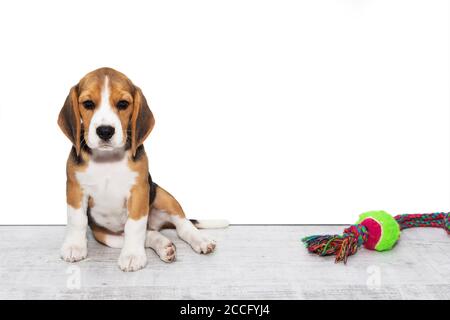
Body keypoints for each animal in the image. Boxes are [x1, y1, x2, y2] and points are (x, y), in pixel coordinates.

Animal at [59, 69, 229, 272]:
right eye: (88, 104)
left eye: (123, 104)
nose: (105, 131)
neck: (107, 159)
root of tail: (156, 224)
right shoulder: (75, 189)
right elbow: (77, 220)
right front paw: (74, 246)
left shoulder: (139, 191)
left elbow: (134, 226)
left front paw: (132, 255)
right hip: (106, 236)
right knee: (149, 234)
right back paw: (164, 245)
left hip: (163, 195)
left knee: (182, 226)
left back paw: (200, 240)